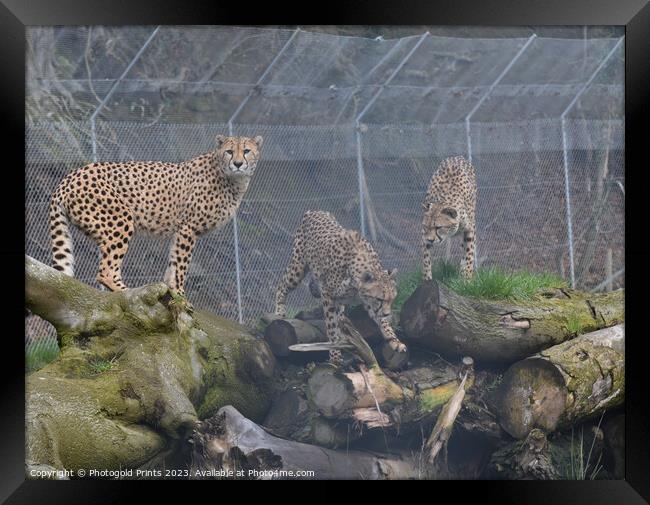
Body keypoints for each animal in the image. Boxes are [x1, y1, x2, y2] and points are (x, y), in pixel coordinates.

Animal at [47, 135, 264, 296]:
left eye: (246, 151)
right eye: (229, 151)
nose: (238, 163)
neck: (232, 179)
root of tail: (69, 177)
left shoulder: (181, 231)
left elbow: (173, 262)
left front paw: (173, 293)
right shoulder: (188, 228)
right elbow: (181, 265)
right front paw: (181, 296)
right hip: (121, 220)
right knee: (105, 271)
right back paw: (128, 291)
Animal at [270, 211, 402, 364]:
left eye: (392, 300)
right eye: (380, 299)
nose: (387, 313)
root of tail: (314, 211)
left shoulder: (365, 300)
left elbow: (382, 322)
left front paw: (395, 341)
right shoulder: (327, 294)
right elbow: (331, 326)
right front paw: (335, 356)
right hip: (298, 267)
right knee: (282, 284)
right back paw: (280, 312)